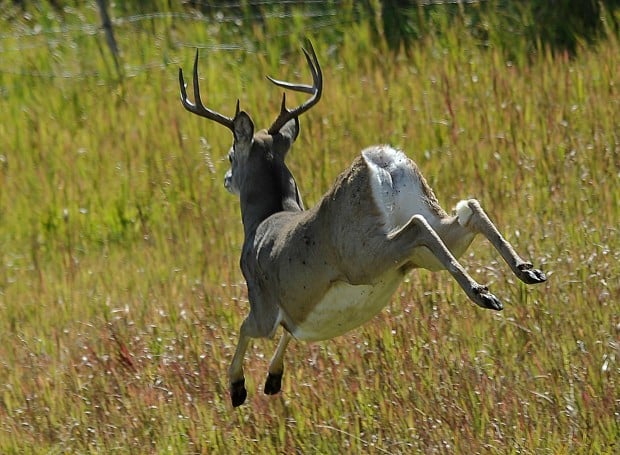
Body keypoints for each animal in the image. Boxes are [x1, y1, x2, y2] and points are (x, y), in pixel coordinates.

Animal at [177, 41, 544, 408]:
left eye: (230, 155)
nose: (226, 179)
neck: (264, 221)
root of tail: (382, 161)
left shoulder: (264, 305)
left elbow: (244, 328)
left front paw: (237, 387)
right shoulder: (293, 313)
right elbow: (290, 332)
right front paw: (272, 379)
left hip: (362, 256)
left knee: (417, 227)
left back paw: (484, 293)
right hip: (423, 232)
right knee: (468, 209)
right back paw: (526, 272)